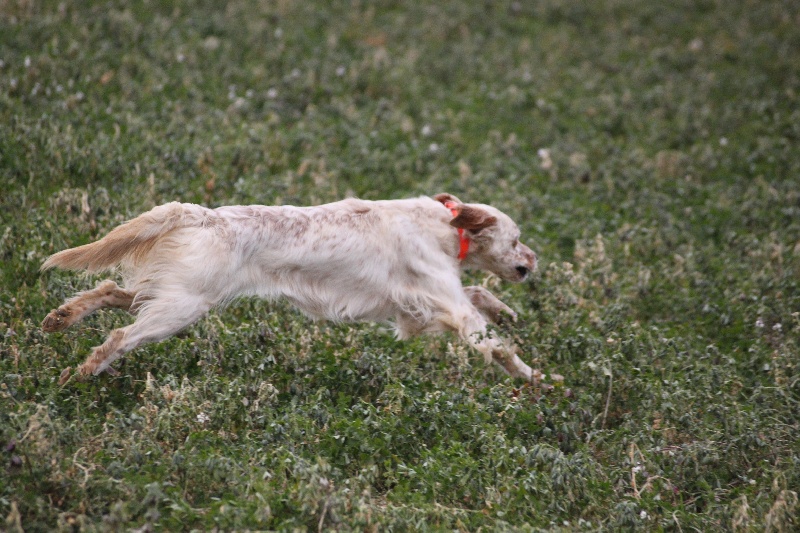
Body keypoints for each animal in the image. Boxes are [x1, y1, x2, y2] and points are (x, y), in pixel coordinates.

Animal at [39, 193, 536, 380]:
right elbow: (497, 345)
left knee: (109, 290)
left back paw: (61, 318)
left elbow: (480, 298)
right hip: (179, 308)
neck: (445, 227)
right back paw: (78, 374)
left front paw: (506, 311)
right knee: (120, 336)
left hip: (172, 294)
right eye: (516, 239)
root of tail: (199, 214)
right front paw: (538, 381)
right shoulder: (446, 305)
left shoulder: (418, 310)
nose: (532, 264)